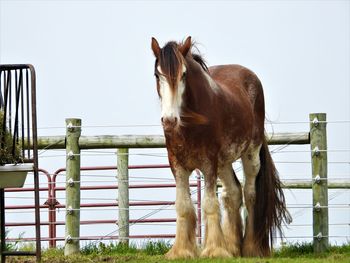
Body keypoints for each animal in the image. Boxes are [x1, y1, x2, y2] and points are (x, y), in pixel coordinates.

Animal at [150, 36, 290, 258]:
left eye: (183, 74)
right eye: (157, 74)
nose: (169, 121)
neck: (190, 122)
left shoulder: (209, 163)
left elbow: (209, 204)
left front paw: (214, 250)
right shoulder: (177, 165)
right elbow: (183, 206)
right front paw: (182, 251)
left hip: (250, 153)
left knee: (250, 194)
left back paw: (250, 248)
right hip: (224, 162)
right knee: (232, 193)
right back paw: (233, 247)